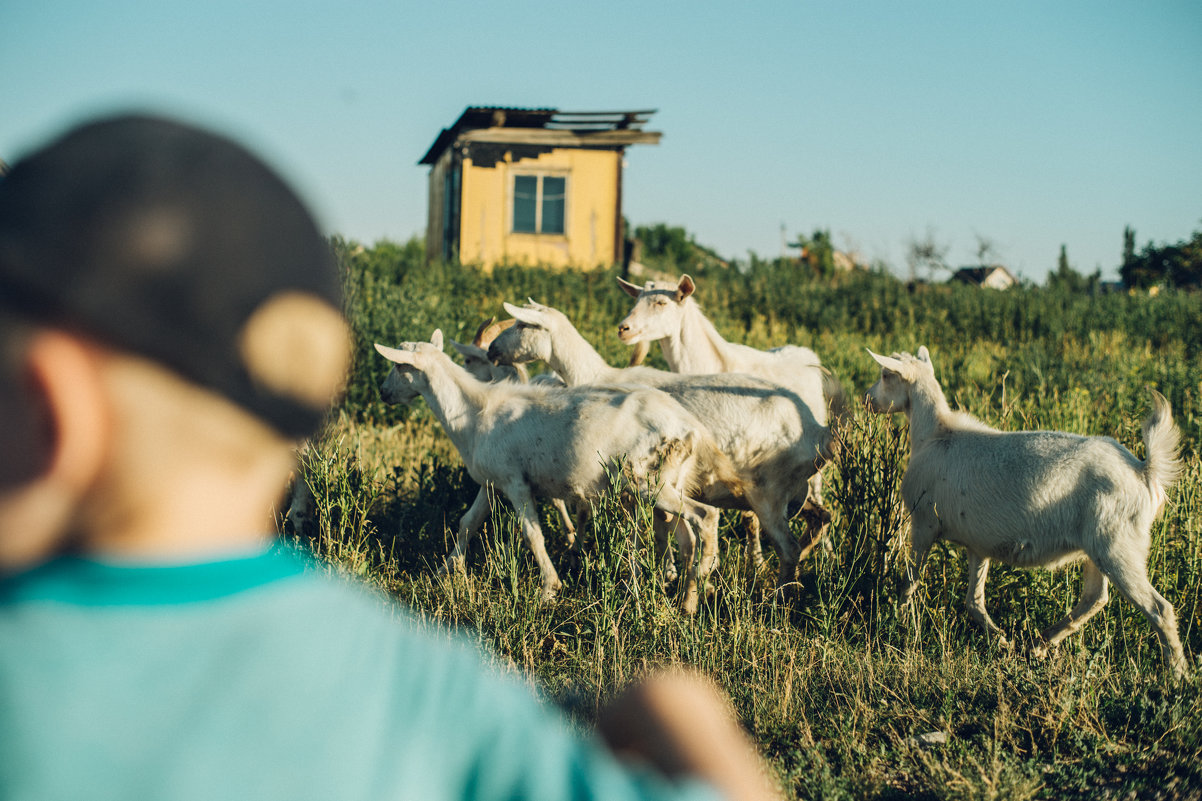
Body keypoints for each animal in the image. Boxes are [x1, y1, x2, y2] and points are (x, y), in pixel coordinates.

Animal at [375, 327, 735, 608]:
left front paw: (549, 588)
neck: (475, 412)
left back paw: (698, 584)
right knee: (687, 536)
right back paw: (687, 596)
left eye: (398, 365)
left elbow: (532, 534)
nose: (383, 393)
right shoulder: (491, 482)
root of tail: (690, 425)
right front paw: (446, 571)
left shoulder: (515, 481)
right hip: (669, 479)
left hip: (647, 481)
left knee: (706, 516)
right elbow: (467, 522)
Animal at [483, 299, 831, 586]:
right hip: (790, 492)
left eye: (523, 324)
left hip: (768, 494)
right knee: (820, 518)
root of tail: (815, 428)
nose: (492, 350)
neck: (598, 376)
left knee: (788, 546)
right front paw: (668, 573)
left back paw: (779, 596)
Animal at [870, 343, 1187, 673]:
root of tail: (1143, 470)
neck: (936, 434)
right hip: (1099, 546)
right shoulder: (978, 544)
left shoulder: (923, 524)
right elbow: (974, 601)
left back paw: (1177, 674)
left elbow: (909, 582)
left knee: (1159, 608)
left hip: (1118, 543)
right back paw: (1039, 643)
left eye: (885, 374)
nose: (869, 400)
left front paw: (898, 626)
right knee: (1095, 598)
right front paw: (1001, 641)